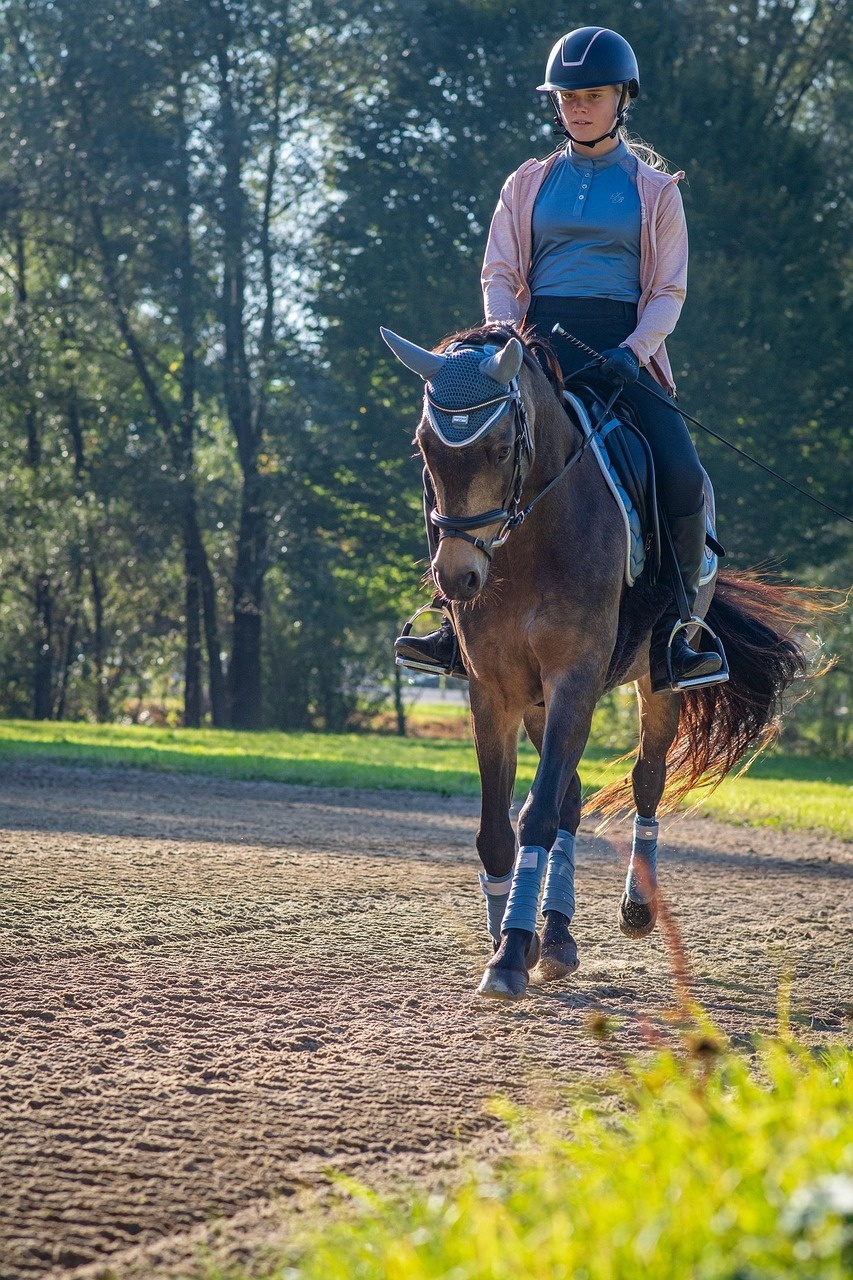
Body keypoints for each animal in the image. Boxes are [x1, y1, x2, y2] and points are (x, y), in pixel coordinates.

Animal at [382, 321, 813, 1000]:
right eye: (426, 447)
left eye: (500, 449)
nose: (457, 578)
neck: (528, 544)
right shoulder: (493, 690)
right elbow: (497, 828)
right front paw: (510, 938)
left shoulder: (575, 678)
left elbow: (534, 816)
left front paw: (511, 954)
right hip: (537, 700)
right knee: (572, 796)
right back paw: (555, 935)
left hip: (654, 683)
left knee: (644, 781)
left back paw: (634, 907)